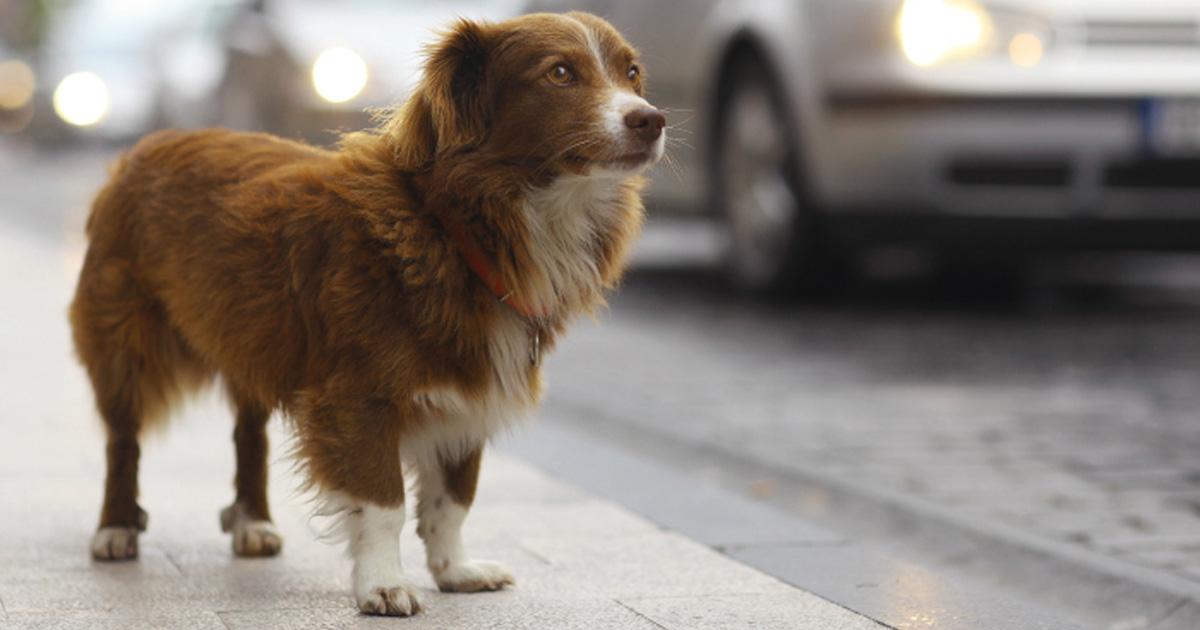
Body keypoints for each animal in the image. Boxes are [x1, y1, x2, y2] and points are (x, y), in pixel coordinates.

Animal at [68, 12, 667, 614]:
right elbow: (384, 504)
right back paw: (115, 528)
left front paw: (455, 570)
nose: (652, 120)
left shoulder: (469, 394)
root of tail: (145, 147)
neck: (454, 227)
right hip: (124, 343)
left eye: (632, 73)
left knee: (249, 436)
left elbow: (453, 500)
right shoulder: (359, 397)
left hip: (249, 335)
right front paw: (383, 584)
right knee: (123, 441)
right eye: (560, 73)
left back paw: (252, 523)